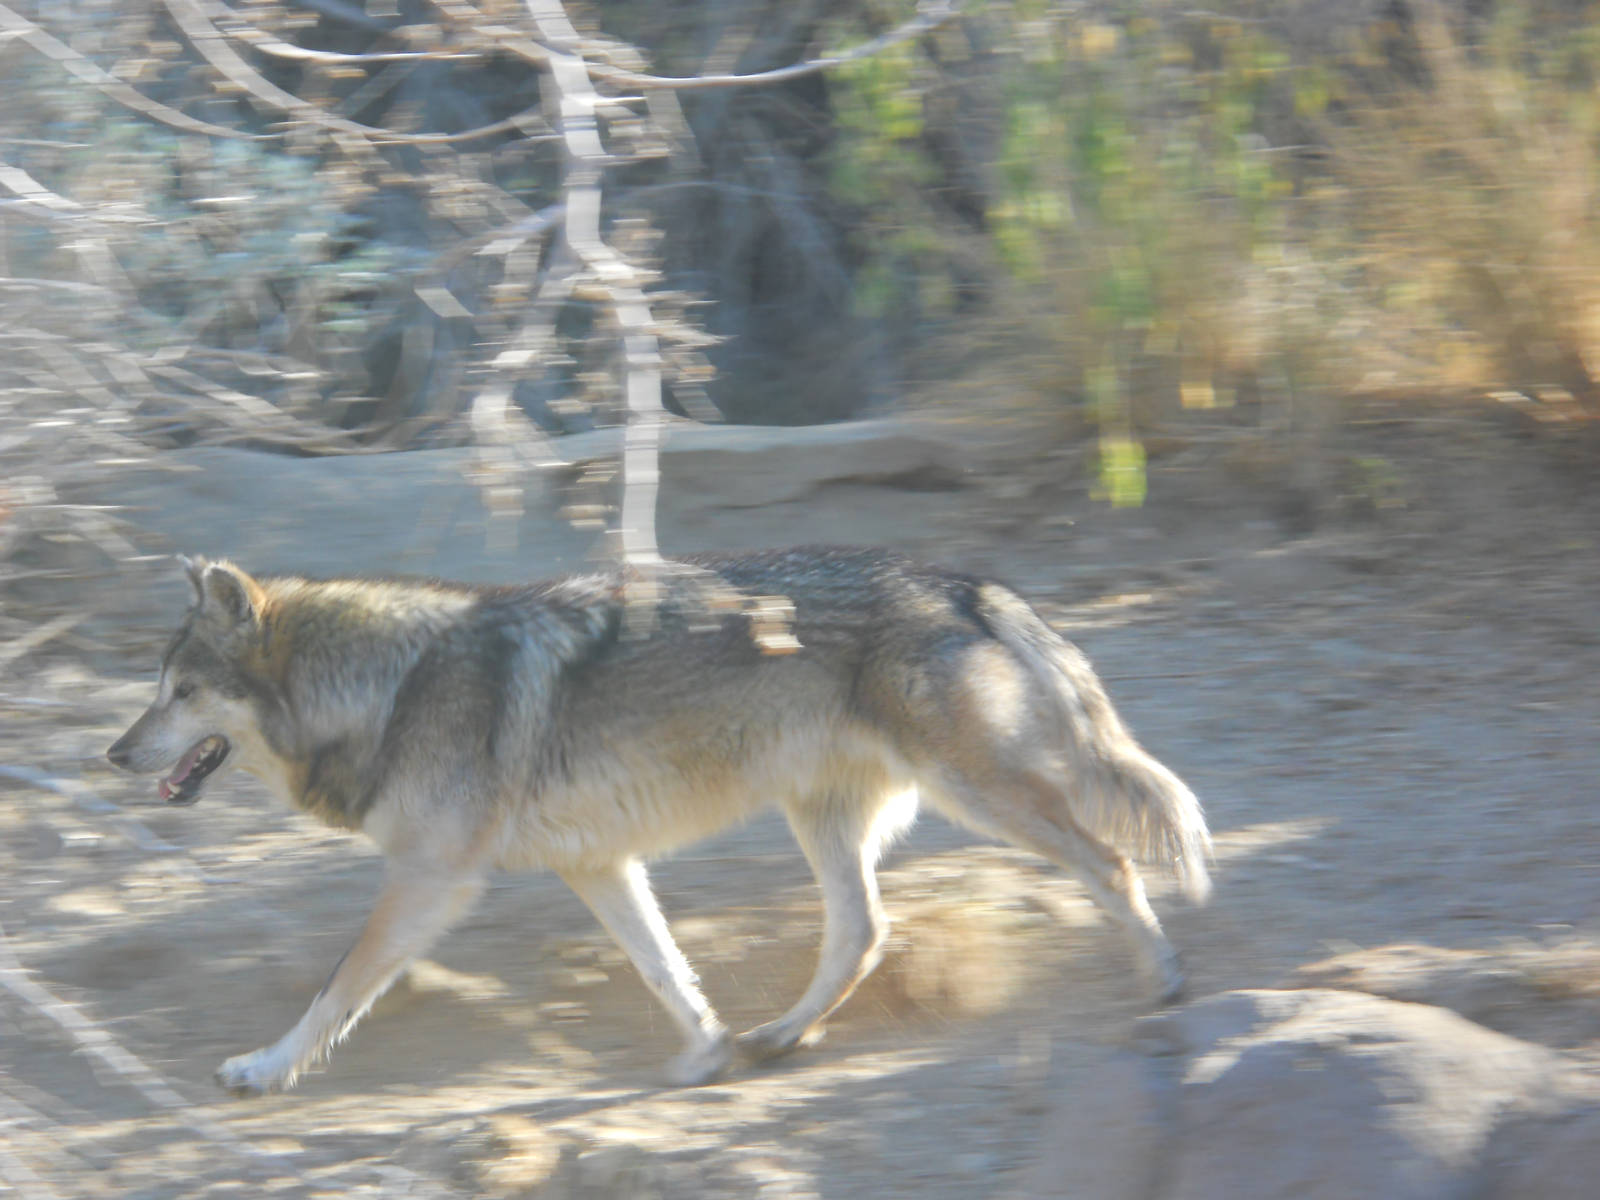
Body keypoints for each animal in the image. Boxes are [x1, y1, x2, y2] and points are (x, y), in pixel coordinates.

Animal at [106, 547, 1211, 1095]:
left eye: (179, 692)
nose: (113, 754)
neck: (388, 689)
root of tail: (970, 585)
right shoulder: (598, 867)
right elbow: (666, 973)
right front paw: (704, 1054)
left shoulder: (428, 880)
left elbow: (335, 991)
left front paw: (263, 1069)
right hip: (827, 820)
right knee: (863, 934)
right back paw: (777, 1040)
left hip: (977, 796)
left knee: (1112, 863)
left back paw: (1165, 980)